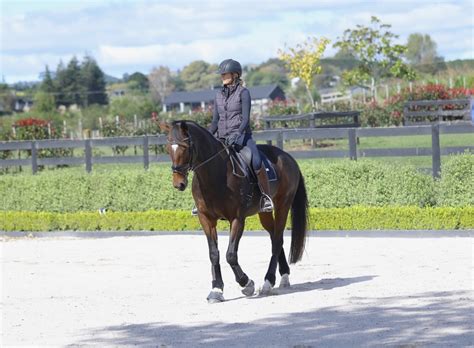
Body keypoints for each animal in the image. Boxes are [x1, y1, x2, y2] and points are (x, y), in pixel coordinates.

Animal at [165, 119, 310, 302]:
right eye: (168, 148)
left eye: (185, 147)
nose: (178, 183)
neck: (215, 173)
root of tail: (288, 157)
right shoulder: (206, 219)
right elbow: (214, 254)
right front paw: (216, 290)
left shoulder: (237, 219)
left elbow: (231, 254)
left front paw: (246, 284)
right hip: (264, 212)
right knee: (275, 238)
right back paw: (283, 277)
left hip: (283, 206)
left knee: (277, 241)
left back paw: (268, 282)